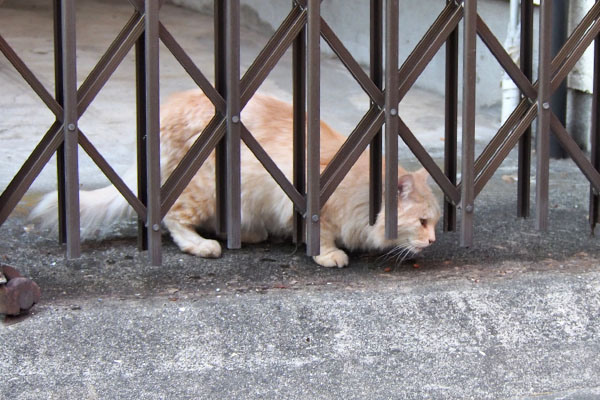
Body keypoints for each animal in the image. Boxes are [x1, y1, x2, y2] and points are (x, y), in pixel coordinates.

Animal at [29, 89, 440, 268]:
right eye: (422, 222)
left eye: (435, 222)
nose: (434, 240)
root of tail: (164, 111)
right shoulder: (309, 203)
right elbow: (320, 235)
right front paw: (329, 254)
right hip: (203, 188)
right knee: (170, 220)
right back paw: (203, 245)